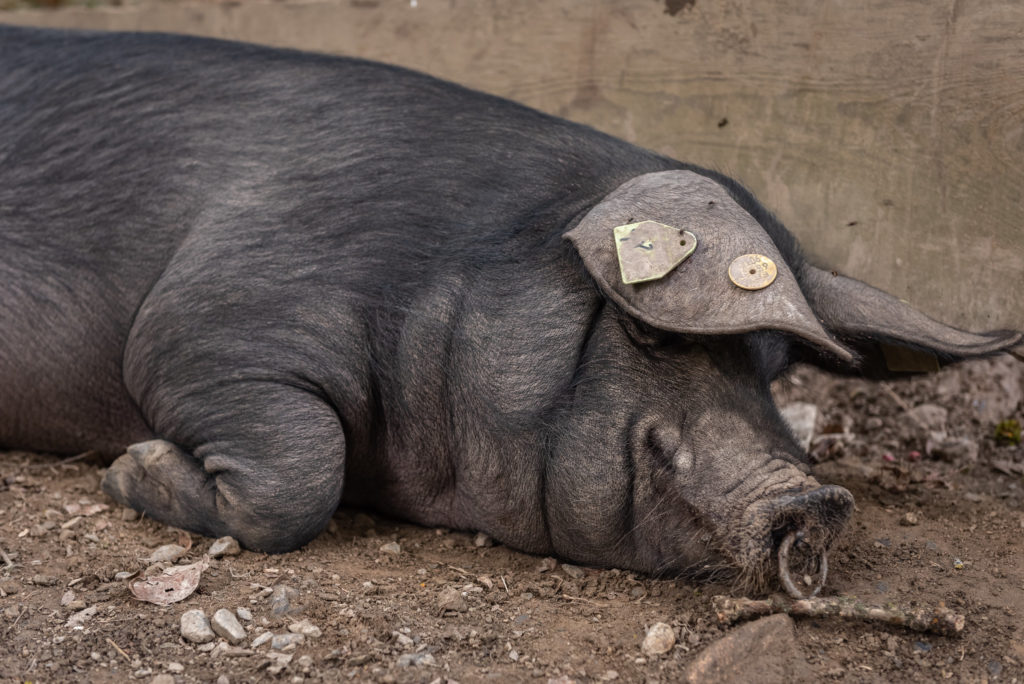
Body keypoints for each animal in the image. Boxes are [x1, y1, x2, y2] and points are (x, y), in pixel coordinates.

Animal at [0, 26, 1015, 593]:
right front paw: (127, 468)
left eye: (774, 368)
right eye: (644, 328)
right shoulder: (213, 322)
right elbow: (302, 469)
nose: (818, 499)